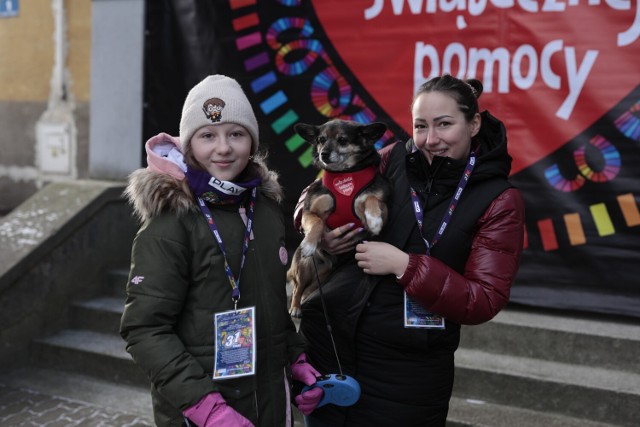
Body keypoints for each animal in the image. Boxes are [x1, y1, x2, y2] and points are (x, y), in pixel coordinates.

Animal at [288, 119, 390, 318]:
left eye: (342, 140)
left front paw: (375, 220)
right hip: (305, 266)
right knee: (297, 288)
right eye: (321, 140)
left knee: (306, 291)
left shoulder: (379, 207)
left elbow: (371, 199)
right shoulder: (310, 212)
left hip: (323, 275)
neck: (344, 174)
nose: (323, 154)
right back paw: (295, 307)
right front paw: (310, 243)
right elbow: (318, 222)